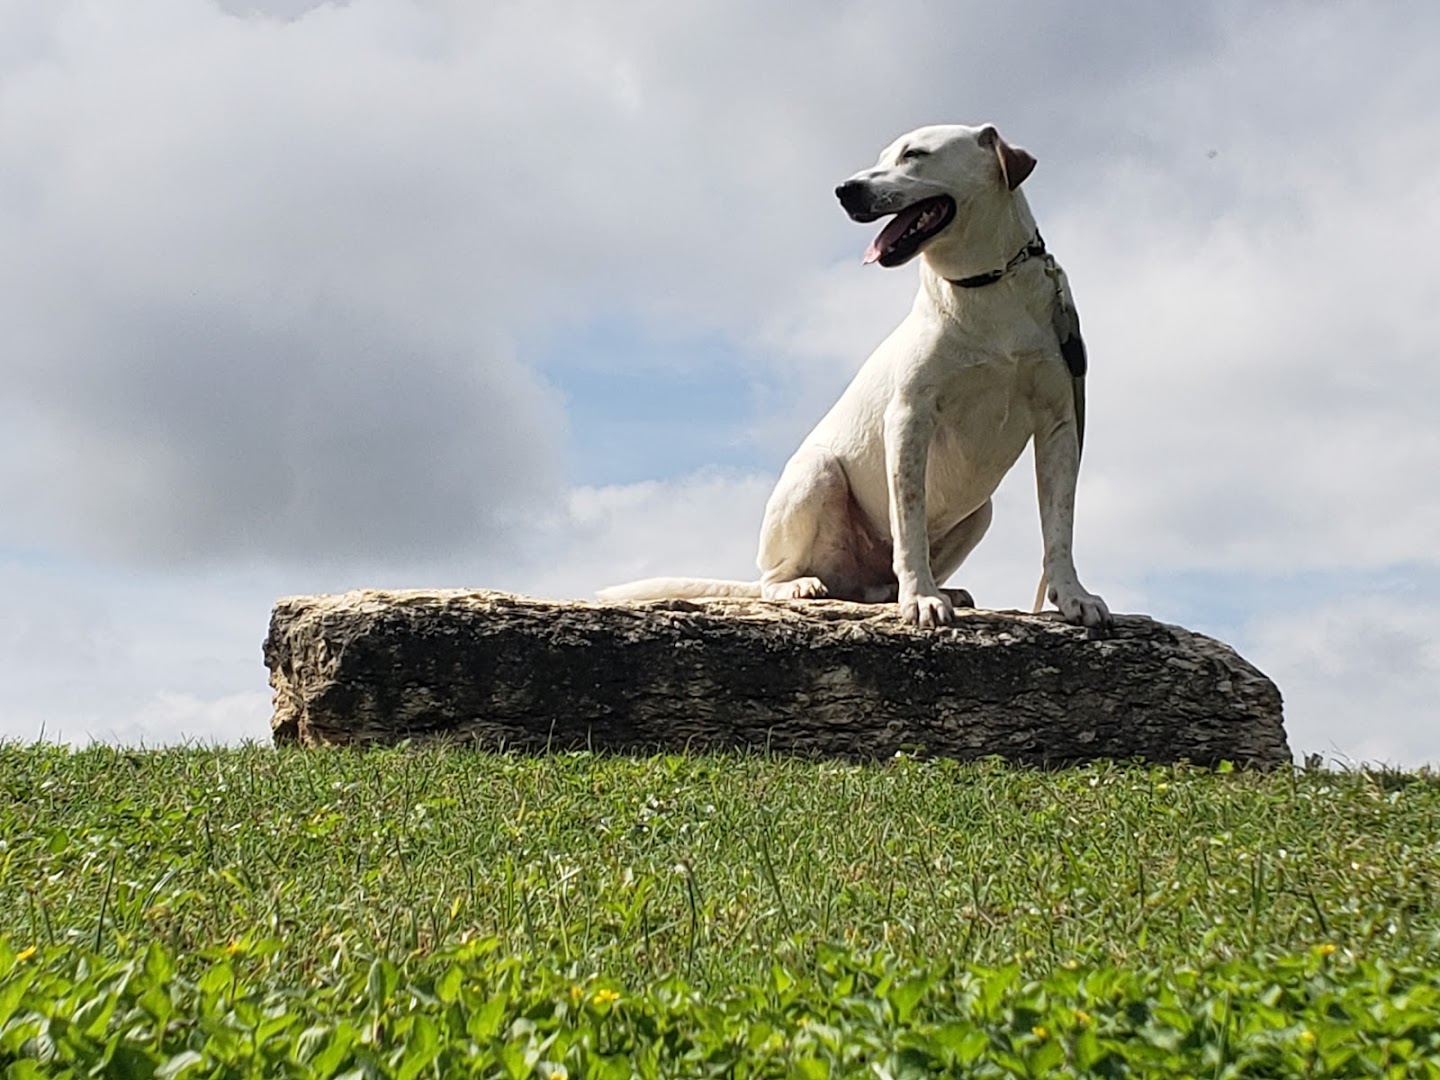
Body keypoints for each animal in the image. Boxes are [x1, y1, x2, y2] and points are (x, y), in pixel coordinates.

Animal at [601, 124, 1105, 633]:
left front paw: (1072, 596)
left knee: (879, 584)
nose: (846, 190)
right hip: (816, 472)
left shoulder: (1060, 425)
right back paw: (804, 585)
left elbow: (1059, 527)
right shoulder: (909, 419)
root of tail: (845, 577)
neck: (988, 286)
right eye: (882, 156)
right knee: (773, 577)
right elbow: (909, 522)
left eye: (914, 154)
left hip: (980, 512)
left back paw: (934, 590)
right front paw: (921, 598)